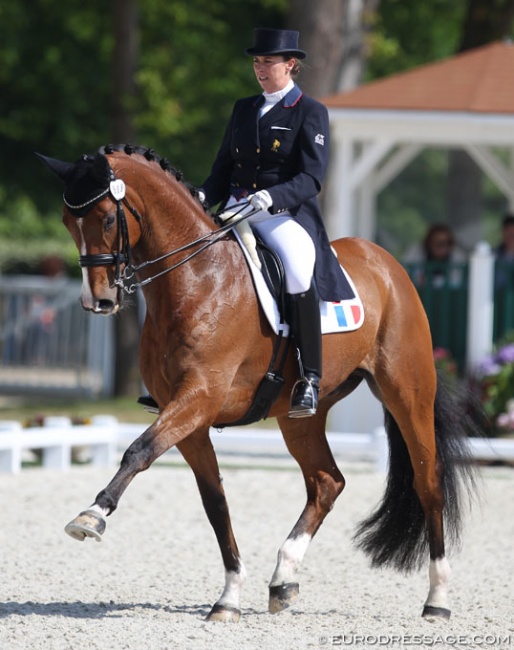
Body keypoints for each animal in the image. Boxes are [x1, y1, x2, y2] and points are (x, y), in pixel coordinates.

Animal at [38, 144, 478, 620]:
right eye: (67, 221)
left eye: (106, 219)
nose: (98, 301)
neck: (197, 280)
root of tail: (386, 263)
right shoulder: (189, 417)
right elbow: (214, 501)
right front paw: (229, 597)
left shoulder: (198, 397)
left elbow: (137, 450)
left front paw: (91, 516)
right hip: (301, 415)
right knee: (327, 482)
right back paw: (283, 578)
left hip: (407, 394)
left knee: (428, 482)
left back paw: (437, 600)